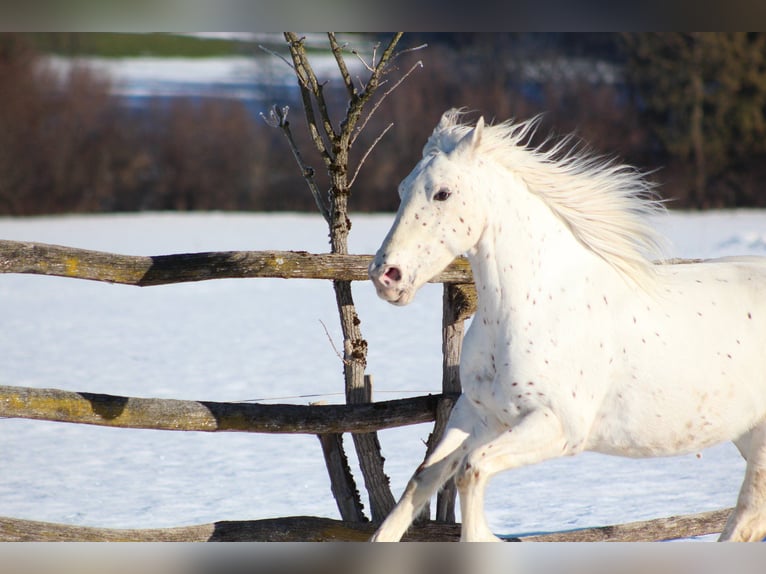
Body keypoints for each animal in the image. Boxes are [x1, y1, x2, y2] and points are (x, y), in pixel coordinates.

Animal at [368, 109, 766, 544]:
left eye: (442, 193)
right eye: (403, 188)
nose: (385, 276)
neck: (533, 305)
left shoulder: (557, 425)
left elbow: (472, 470)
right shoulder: (477, 413)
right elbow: (423, 478)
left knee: (746, 515)